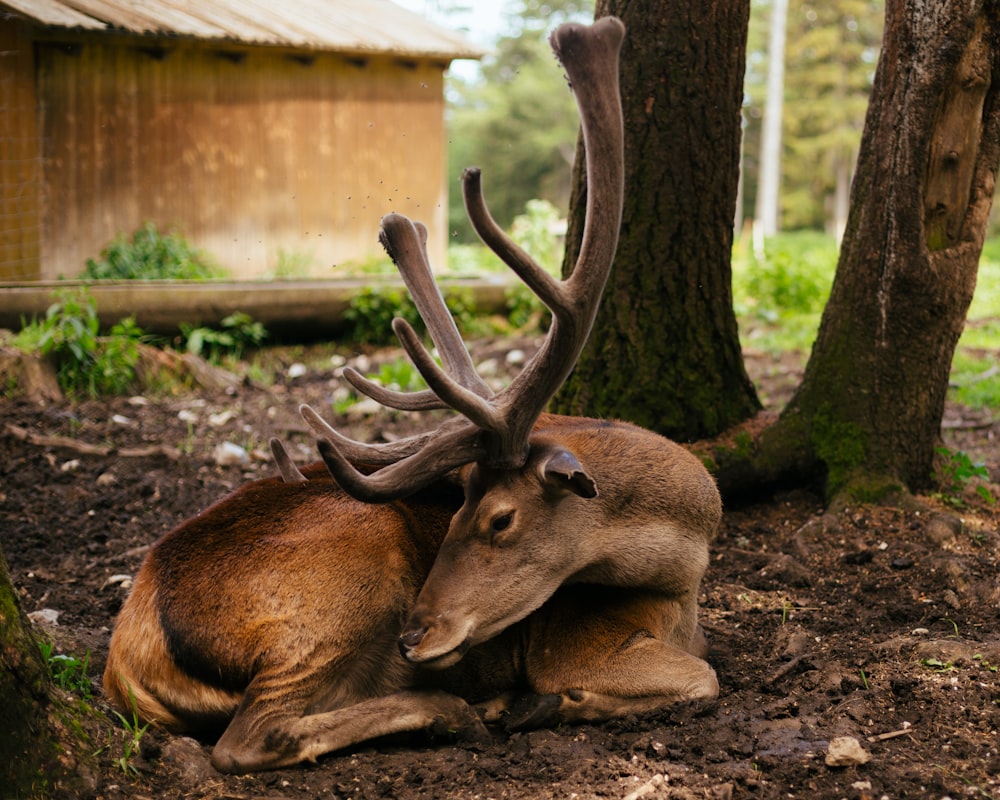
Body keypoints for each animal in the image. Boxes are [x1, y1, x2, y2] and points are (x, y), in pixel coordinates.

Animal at [105, 15, 724, 772]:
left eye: (498, 518)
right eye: (456, 507)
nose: (414, 636)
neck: (683, 575)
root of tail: (128, 657)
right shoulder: (570, 641)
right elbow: (703, 677)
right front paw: (545, 702)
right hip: (342, 576)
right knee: (249, 737)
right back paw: (458, 710)